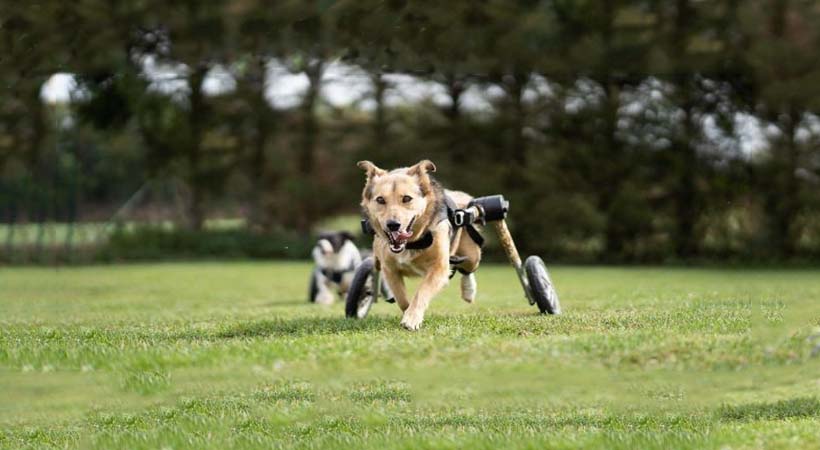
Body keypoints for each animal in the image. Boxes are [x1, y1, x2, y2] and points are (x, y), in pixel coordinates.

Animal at [358, 160, 480, 328]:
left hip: (471, 254)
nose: (393, 225)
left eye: (407, 198)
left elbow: (422, 292)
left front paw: (412, 318)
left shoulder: (439, 268)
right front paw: (407, 313)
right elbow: (401, 298)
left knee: (468, 269)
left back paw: (469, 291)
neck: (411, 243)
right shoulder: (390, 269)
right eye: (380, 200)